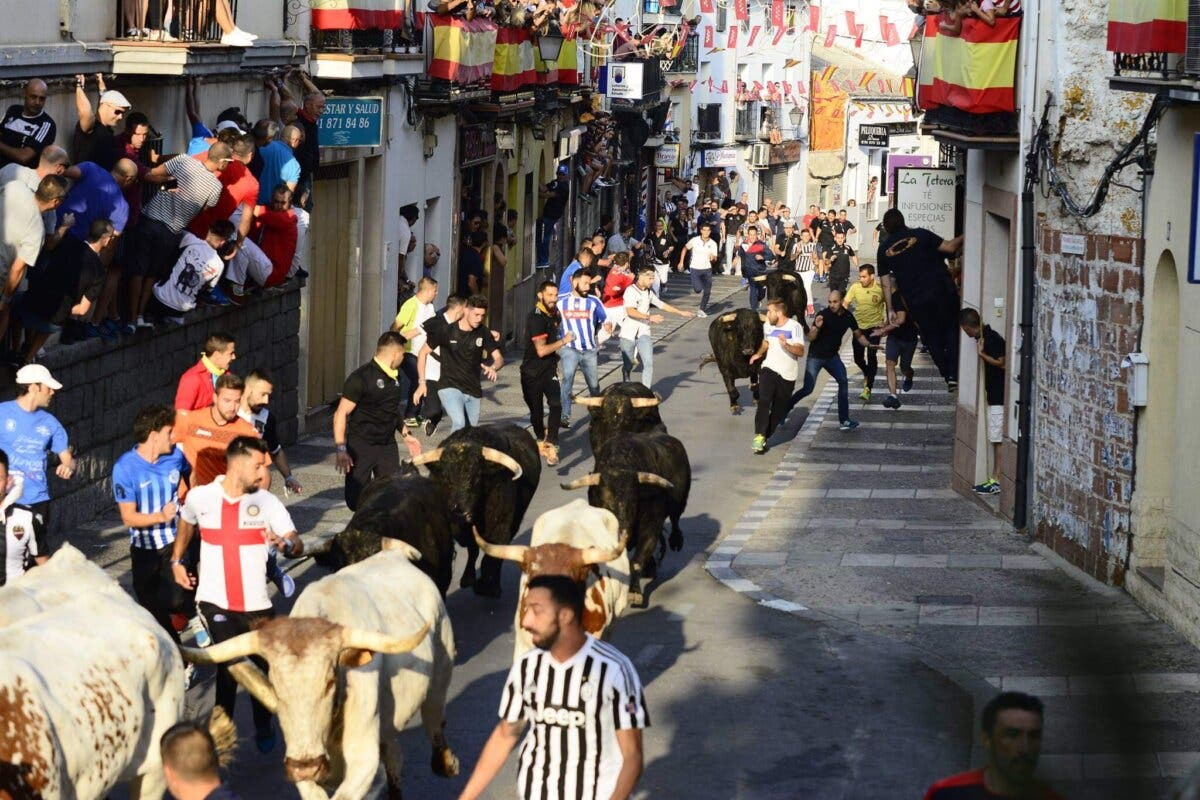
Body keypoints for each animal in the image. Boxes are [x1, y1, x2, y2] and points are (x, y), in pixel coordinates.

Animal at [403, 422, 540, 597]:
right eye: (445, 477)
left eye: (477, 477)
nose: (461, 514)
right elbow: (472, 548)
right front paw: (468, 579)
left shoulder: (501, 524)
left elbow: (492, 552)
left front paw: (488, 586)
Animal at [561, 434, 696, 604]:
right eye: (604, 504)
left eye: (633, 501)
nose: (622, 534)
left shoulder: (651, 529)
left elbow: (636, 561)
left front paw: (634, 593)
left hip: (680, 502)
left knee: (675, 519)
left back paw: (675, 542)